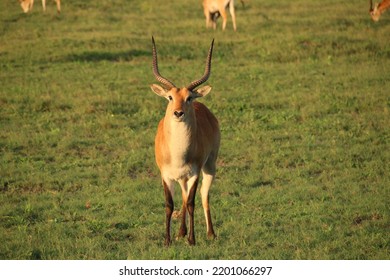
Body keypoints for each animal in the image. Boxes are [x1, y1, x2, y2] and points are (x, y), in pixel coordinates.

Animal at [151, 36, 221, 245]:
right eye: (169, 97)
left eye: (189, 97)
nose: (178, 113)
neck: (178, 154)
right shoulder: (165, 175)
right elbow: (169, 204)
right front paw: (167, 240)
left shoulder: (195, 173)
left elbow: (191, 203)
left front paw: (192, 240)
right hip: (181, 177)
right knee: (182, 196)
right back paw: (180, 232)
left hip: (210, 166)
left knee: (204, 195)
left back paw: (210, 233)